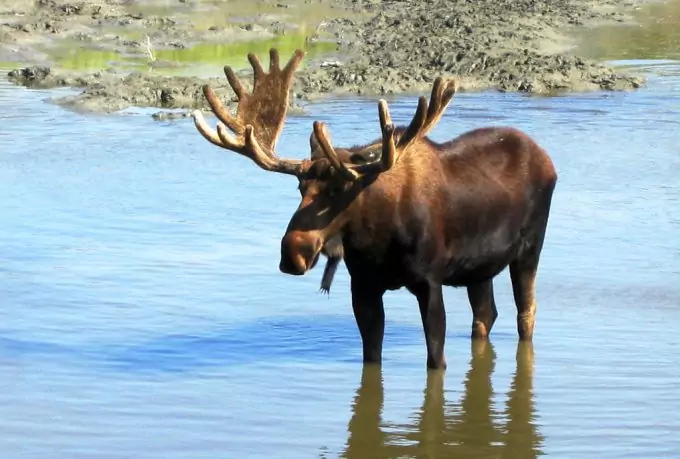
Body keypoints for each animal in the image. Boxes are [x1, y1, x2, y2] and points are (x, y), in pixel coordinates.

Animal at [191, 47, 556, 370]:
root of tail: (545, 157)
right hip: (478, 269)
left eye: (342, 190)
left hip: (529, 249)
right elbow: (371, 359)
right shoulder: (363, 287)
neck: (377, 239)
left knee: (527, 312)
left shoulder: (429, 282)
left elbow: (436, 361)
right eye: (300, 188)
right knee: (486, 315)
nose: (293, 253)